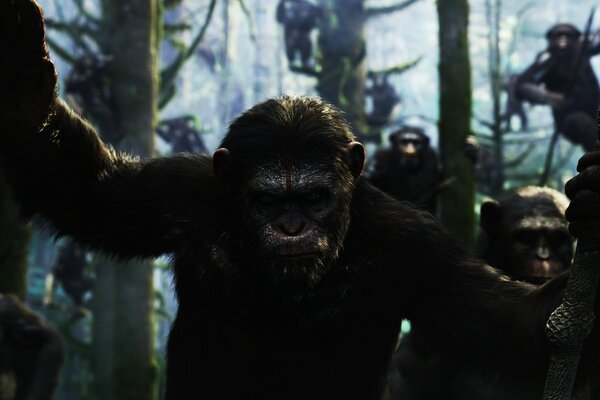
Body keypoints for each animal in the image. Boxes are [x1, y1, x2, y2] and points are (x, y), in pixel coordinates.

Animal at [516, 23, 600, 152]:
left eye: (567, 34)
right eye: (558, 35)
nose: (562, 40)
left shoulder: (585, 43)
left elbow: (596, 39)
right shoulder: (544, 57)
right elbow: (524, 83)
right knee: (577, 121)